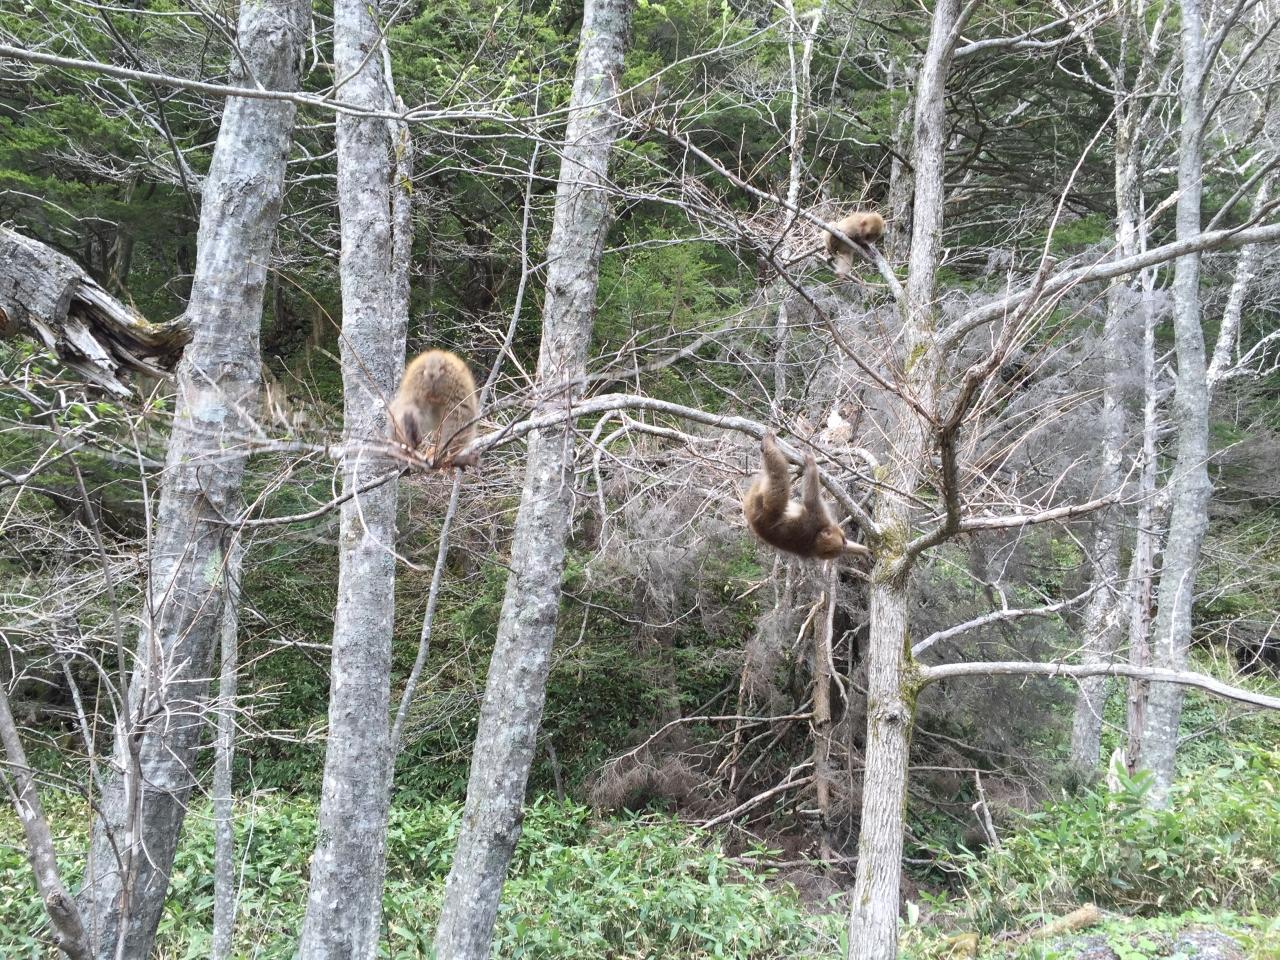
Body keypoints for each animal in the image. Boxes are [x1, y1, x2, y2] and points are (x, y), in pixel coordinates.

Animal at [743, 431, 848, 560]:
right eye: (843, 540)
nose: (846, 543)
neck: (815, 539)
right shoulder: (818, 517)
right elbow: (811, 500)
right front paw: (811, 463)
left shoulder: (817, 518)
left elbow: (810, 500)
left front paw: (810, 464)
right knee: (779, 479)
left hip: (766, 508)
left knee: (778, 477)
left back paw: (766, 448)